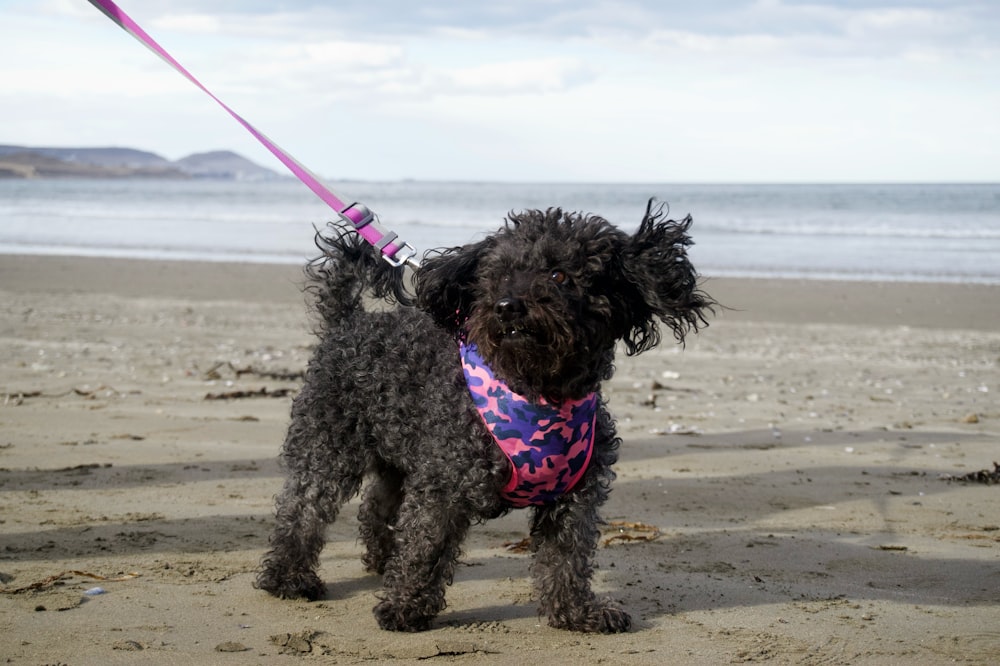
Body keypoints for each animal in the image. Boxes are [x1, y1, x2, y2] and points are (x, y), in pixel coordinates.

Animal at [258, 200, 712, 632]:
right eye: (497, 275)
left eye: (560, 275)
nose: (508, 306)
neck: (538, 391)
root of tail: (348, 322)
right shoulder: (445, 483)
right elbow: (426, 547)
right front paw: (405, 607)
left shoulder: (574, 497)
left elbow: (567, 559)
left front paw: (575, 613)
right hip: (329, 447)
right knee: (302, 510)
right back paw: (288, 577)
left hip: (399, 456)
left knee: (375, 508)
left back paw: (383, 562)